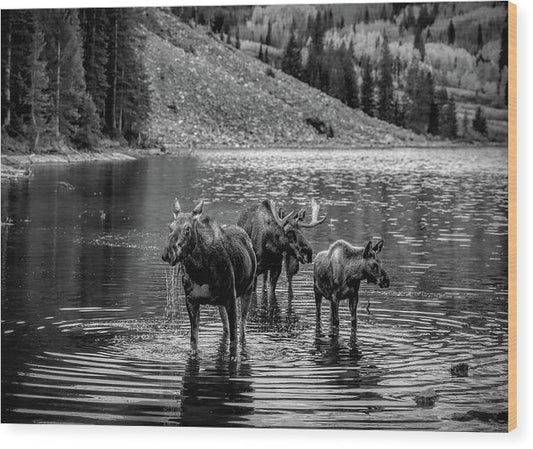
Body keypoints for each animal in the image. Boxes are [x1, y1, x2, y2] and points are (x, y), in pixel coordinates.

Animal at [160, 198, 256, 348]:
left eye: (187, 229)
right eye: (170, 227)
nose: (168, 253)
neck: (201, 272)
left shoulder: (231, 298)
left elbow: (234, 340)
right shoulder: (191, 300)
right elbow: (194, 341)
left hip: (248, 290)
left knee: (243, 328)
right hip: (220, 303)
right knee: (226, 328)